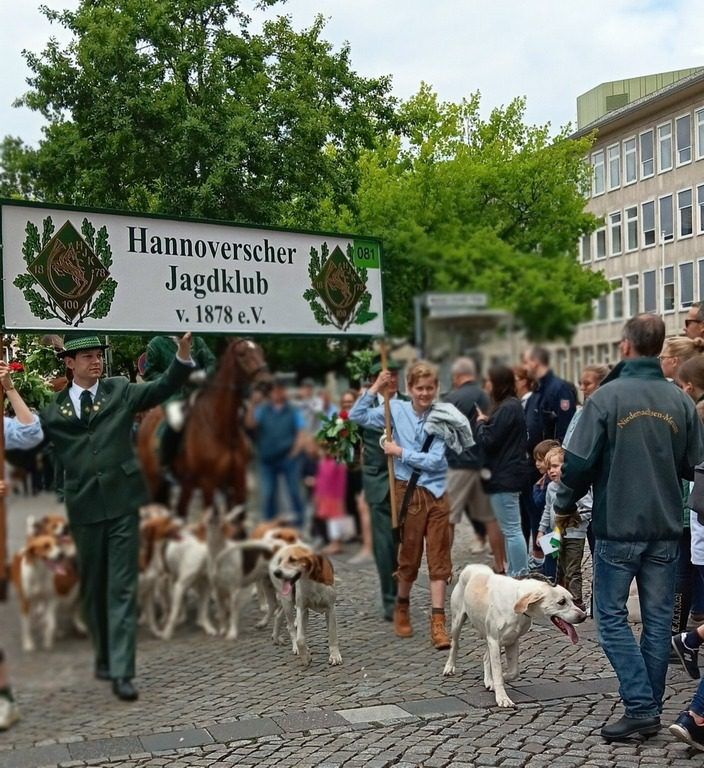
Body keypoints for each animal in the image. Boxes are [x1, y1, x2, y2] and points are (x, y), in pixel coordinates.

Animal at [136, 338, 271, 518]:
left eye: (261, 351)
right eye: (242, 354)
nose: (266, 383)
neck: (223, 429)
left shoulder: (237, 481)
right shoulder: (209, 483)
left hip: (186, 484)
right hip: (152, 480)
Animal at [443, 564, 586, 707]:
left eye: (573, 600)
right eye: (561, 602)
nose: (584, 616)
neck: (516, 600)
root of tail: (472, 566)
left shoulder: (511, 640)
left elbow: (513, 672)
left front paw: (499, 680)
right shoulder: (494, 640)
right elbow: (498, 671)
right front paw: (502, 697)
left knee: (485, 657)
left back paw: (488, 680)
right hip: (458, 621)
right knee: (455, 644)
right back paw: (449, 667)